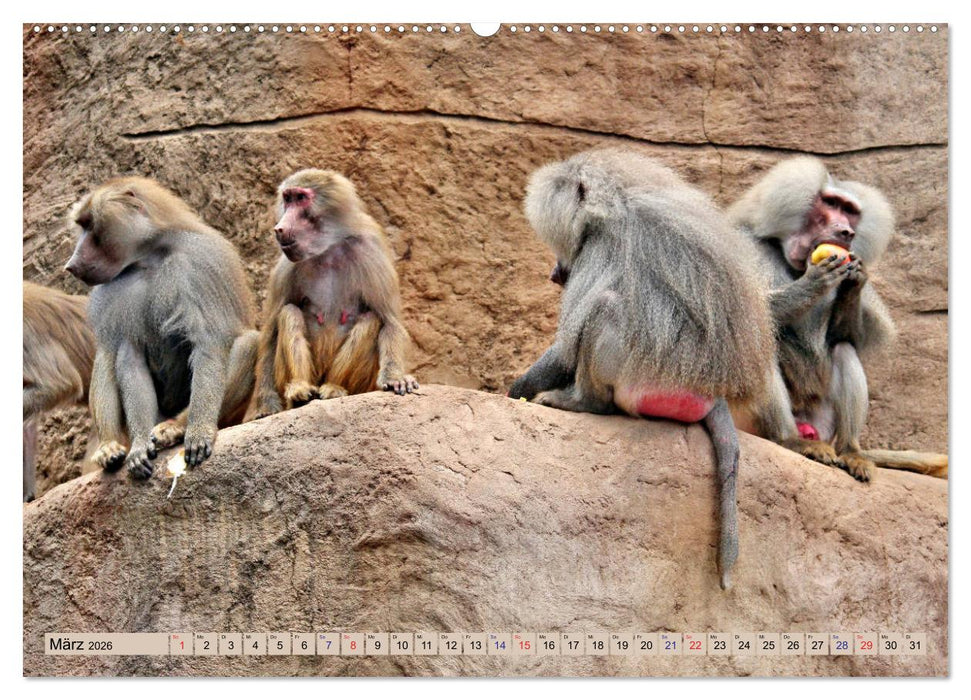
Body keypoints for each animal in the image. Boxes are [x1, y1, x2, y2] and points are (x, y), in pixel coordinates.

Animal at [64, 176, 259, 479]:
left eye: (89, 225)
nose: (71, 265)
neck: (150, 258)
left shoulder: (199, 264)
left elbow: (208, 345)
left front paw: (198, 432)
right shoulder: (117, 291)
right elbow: (129, 357)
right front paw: (139, 447)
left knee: (248, 342)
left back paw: (176, 428)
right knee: (107, 355)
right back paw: (110, 447)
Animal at [248, 169, 418, 420]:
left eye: (301, 198)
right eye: (287, 198)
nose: (279, 228)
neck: (327, 250)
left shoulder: (370, 252)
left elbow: (389, 321)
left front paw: (395, 378)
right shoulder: (286, 266)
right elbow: (270, 334)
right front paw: (267, 405)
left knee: (371, 319)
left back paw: (334, 388)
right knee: (289, 313)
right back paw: (299, 391)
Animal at [509, 149, 776, 589]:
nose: (553, 272)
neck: (615, 201)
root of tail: (713, 392)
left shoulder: (600, 248)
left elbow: (567, 345)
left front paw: (519, 388)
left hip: (647, 375)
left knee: (605, 307)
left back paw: (579, 402)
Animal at [728, 156, 947, 481]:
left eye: (850, 212)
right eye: (830, 203)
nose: (846, 233)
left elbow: (845, 337)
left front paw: (853, 282)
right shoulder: (744, 245)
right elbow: (746, 319)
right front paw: (814, 283)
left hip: (823, 421)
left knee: (844, 349)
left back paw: (851, 453)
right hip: (746, 418)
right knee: (761, 349)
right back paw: (790, 440)